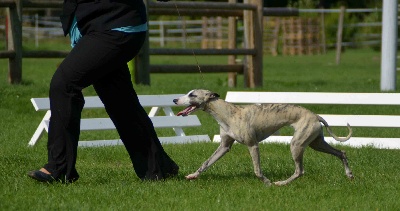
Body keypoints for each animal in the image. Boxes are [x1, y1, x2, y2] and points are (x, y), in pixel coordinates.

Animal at [173, 89, 354, 186]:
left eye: (192, 95)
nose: (174, 99)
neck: (229, 114)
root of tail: (316, 115)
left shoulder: (253, 145)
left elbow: (257, 171)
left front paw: (267, 183)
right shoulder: (224, 146)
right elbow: (206, 162)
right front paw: (193, 175)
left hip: (296, 144)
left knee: (299, 171)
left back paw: (281, 183)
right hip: (315, 143)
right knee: (341, 152)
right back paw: (349, 174)